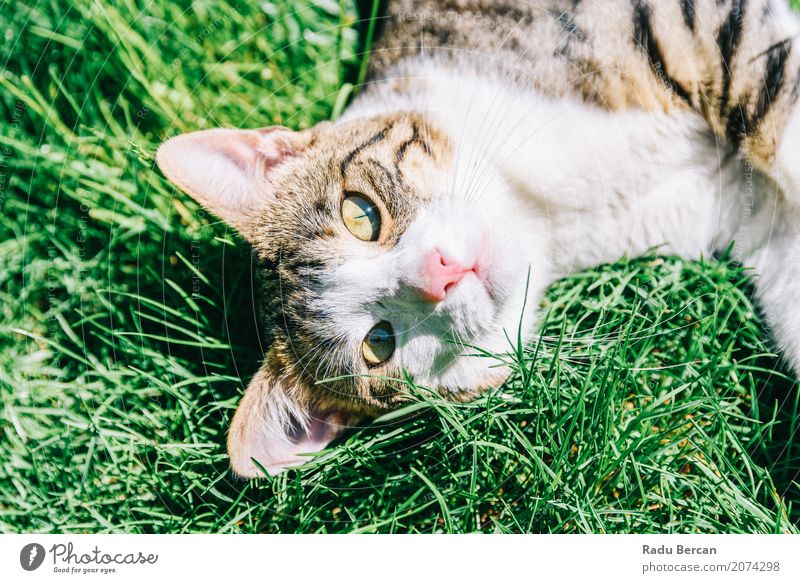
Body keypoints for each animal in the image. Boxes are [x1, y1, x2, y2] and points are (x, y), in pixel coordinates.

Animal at [156, 1, 800, 480]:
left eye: (361, 215)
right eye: (379, 344)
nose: (442, 271)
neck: (545, 214)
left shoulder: (680, 21)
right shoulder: (746, 215)